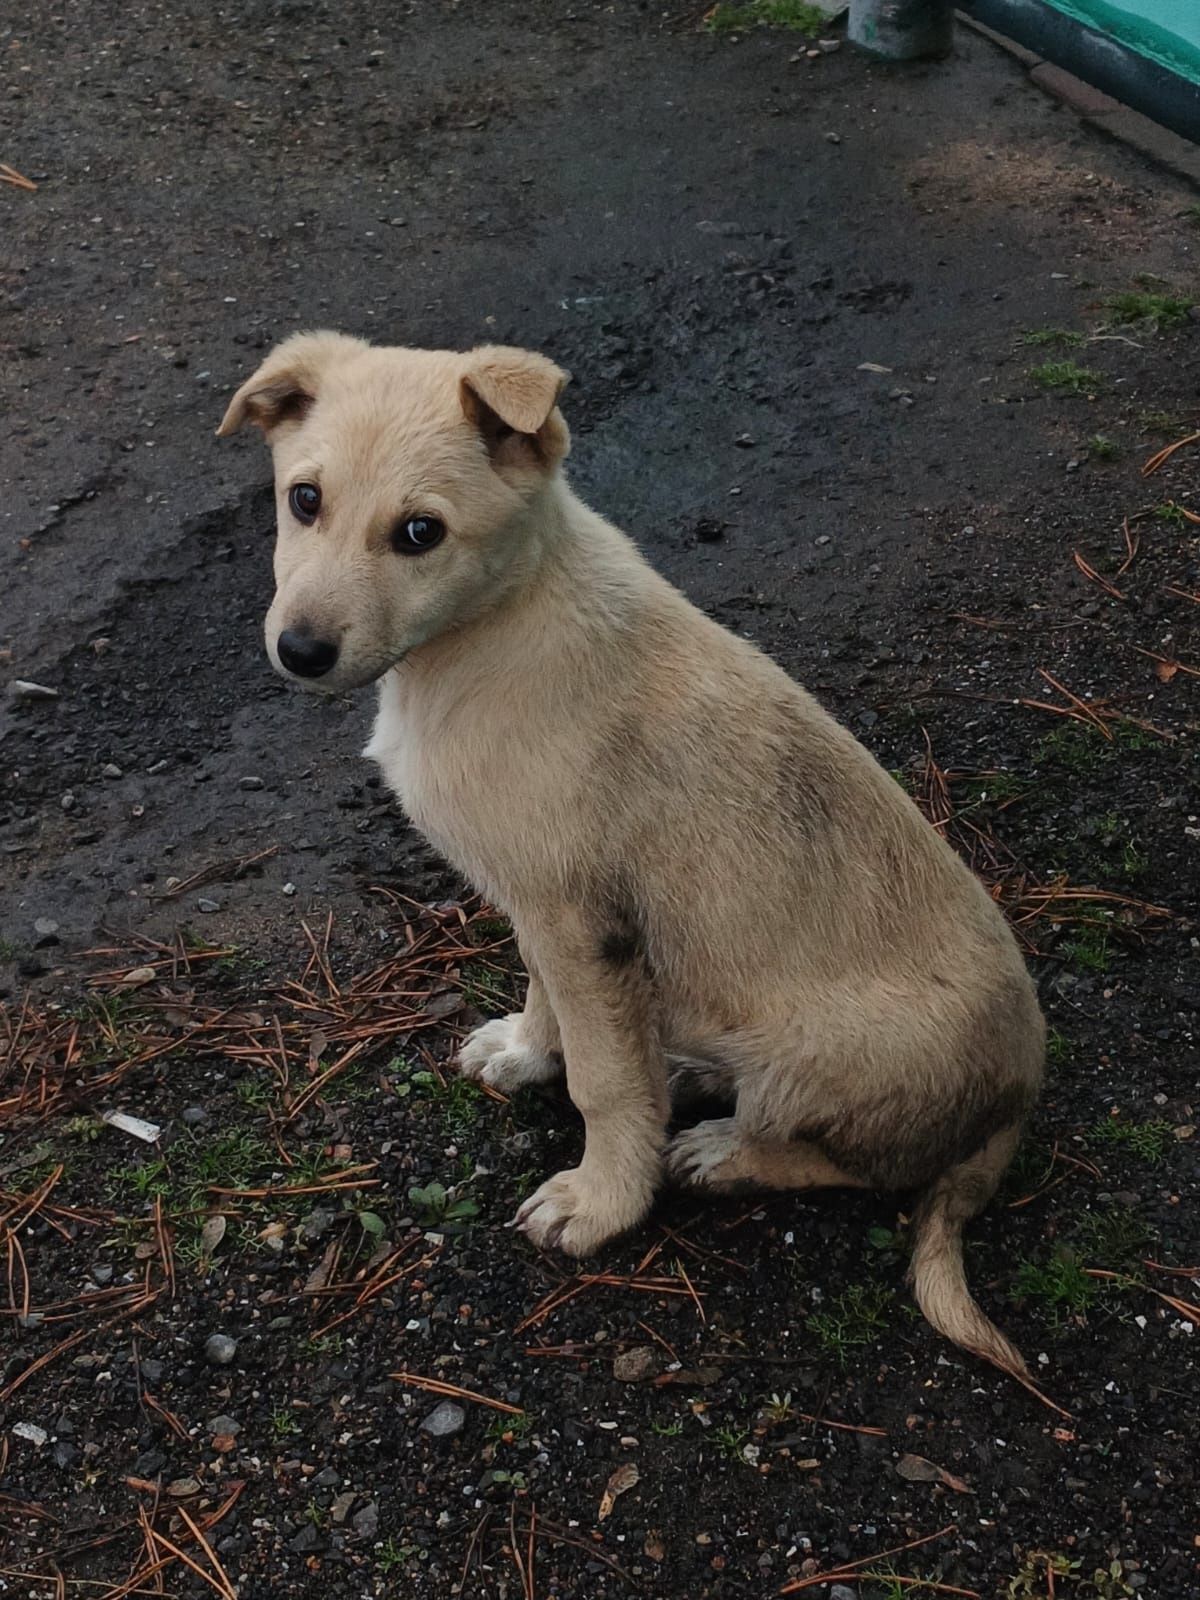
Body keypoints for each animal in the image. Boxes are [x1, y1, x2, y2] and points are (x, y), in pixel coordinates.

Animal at [220, 334, 1049, 1376]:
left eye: (419, 533)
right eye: (303, 499)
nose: (299, 650)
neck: (492, 631)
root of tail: (1020, 1091)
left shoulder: (579, 918)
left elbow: (605, 1082)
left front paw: (602, 1202)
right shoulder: (543, 907)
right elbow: (555, 1009)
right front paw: (527, 1051)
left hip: (821, 1058)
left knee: (852, 1164)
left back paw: (723, 1150)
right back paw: (687, 1074)